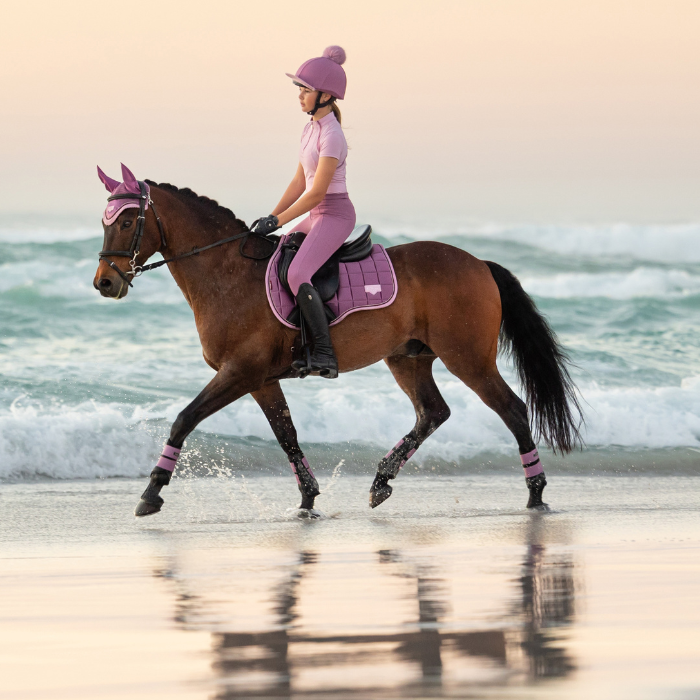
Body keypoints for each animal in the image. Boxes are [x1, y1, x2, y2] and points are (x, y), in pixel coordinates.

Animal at [93, 169, 582, 517]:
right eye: (105, 221)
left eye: (130, 221)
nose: (104, 282)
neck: (227, 273)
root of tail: (479, 262)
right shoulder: (260, 380)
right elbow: (287, 435)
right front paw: (308, 499)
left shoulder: (240, 372)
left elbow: (184, 419)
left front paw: (151, 492)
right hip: (408, 358)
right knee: (433, 412)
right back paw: (380, 482)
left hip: (469, 359)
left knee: (512, 409)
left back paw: (536, 494)